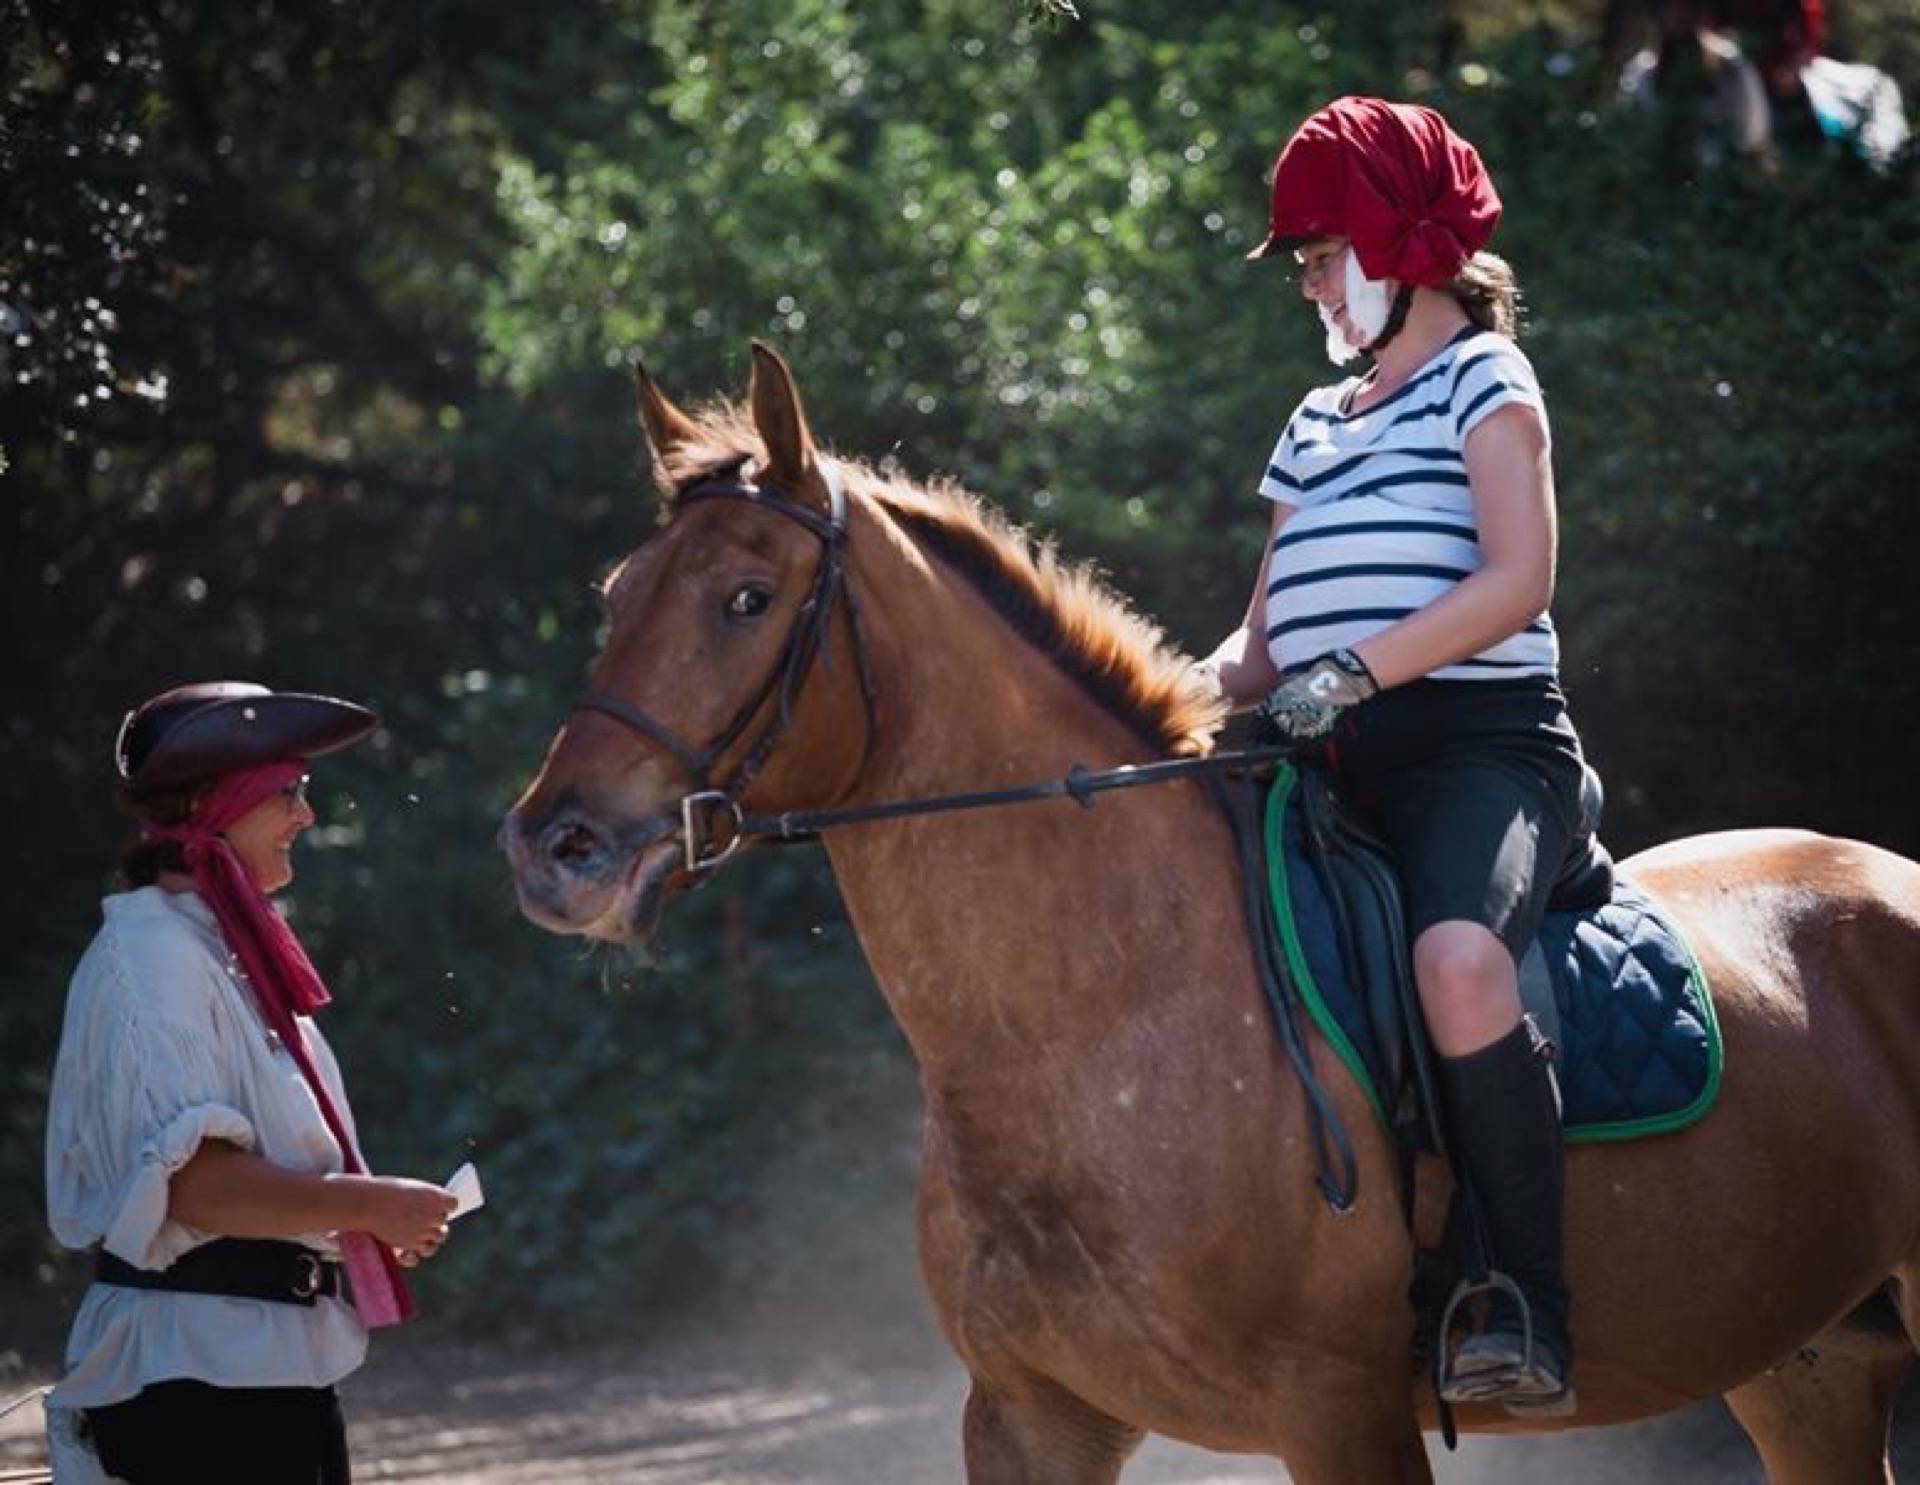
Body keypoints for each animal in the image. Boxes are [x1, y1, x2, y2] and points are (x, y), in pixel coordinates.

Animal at [501, 342, 1920, 1483]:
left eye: (745, 599)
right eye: (619, 596)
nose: (554, 852)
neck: (1100, 1013)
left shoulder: (1338, 1413)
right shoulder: (1029, 1418)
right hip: (1809, 1365)